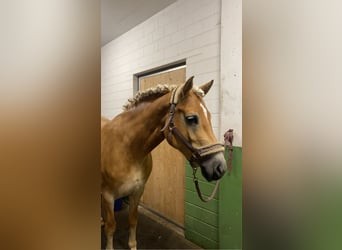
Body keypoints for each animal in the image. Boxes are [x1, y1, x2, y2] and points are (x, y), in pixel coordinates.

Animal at [100, 76, 226, 250]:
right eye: (191, 118)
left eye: (209, 116)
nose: (220, 167)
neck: (128, 149)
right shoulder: (108, 195)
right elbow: (111, 227)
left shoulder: (137, 191)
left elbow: (133, 220)